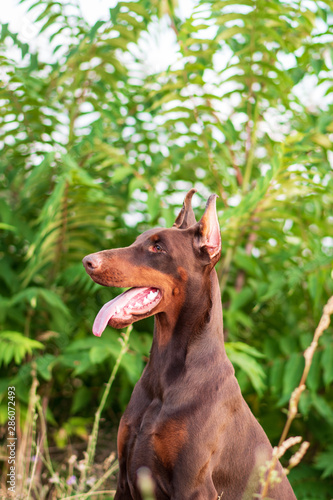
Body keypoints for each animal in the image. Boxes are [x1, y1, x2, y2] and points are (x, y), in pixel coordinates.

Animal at [83, 190, 296, 500]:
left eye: (158, 248)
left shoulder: (193, 484)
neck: (164, 374)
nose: (88, 261)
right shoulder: (123, 478)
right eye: (136, 241)